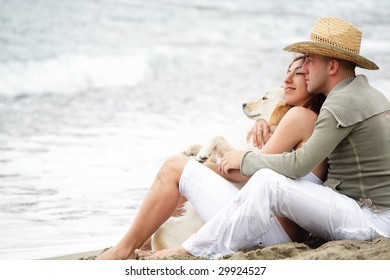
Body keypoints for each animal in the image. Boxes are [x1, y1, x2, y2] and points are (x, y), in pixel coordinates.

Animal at [151, 86, 290, 252]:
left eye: (264, 98)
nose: (243, 104)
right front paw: (191, 152)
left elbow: (217, 136)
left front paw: (203, 153)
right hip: (164, 228)